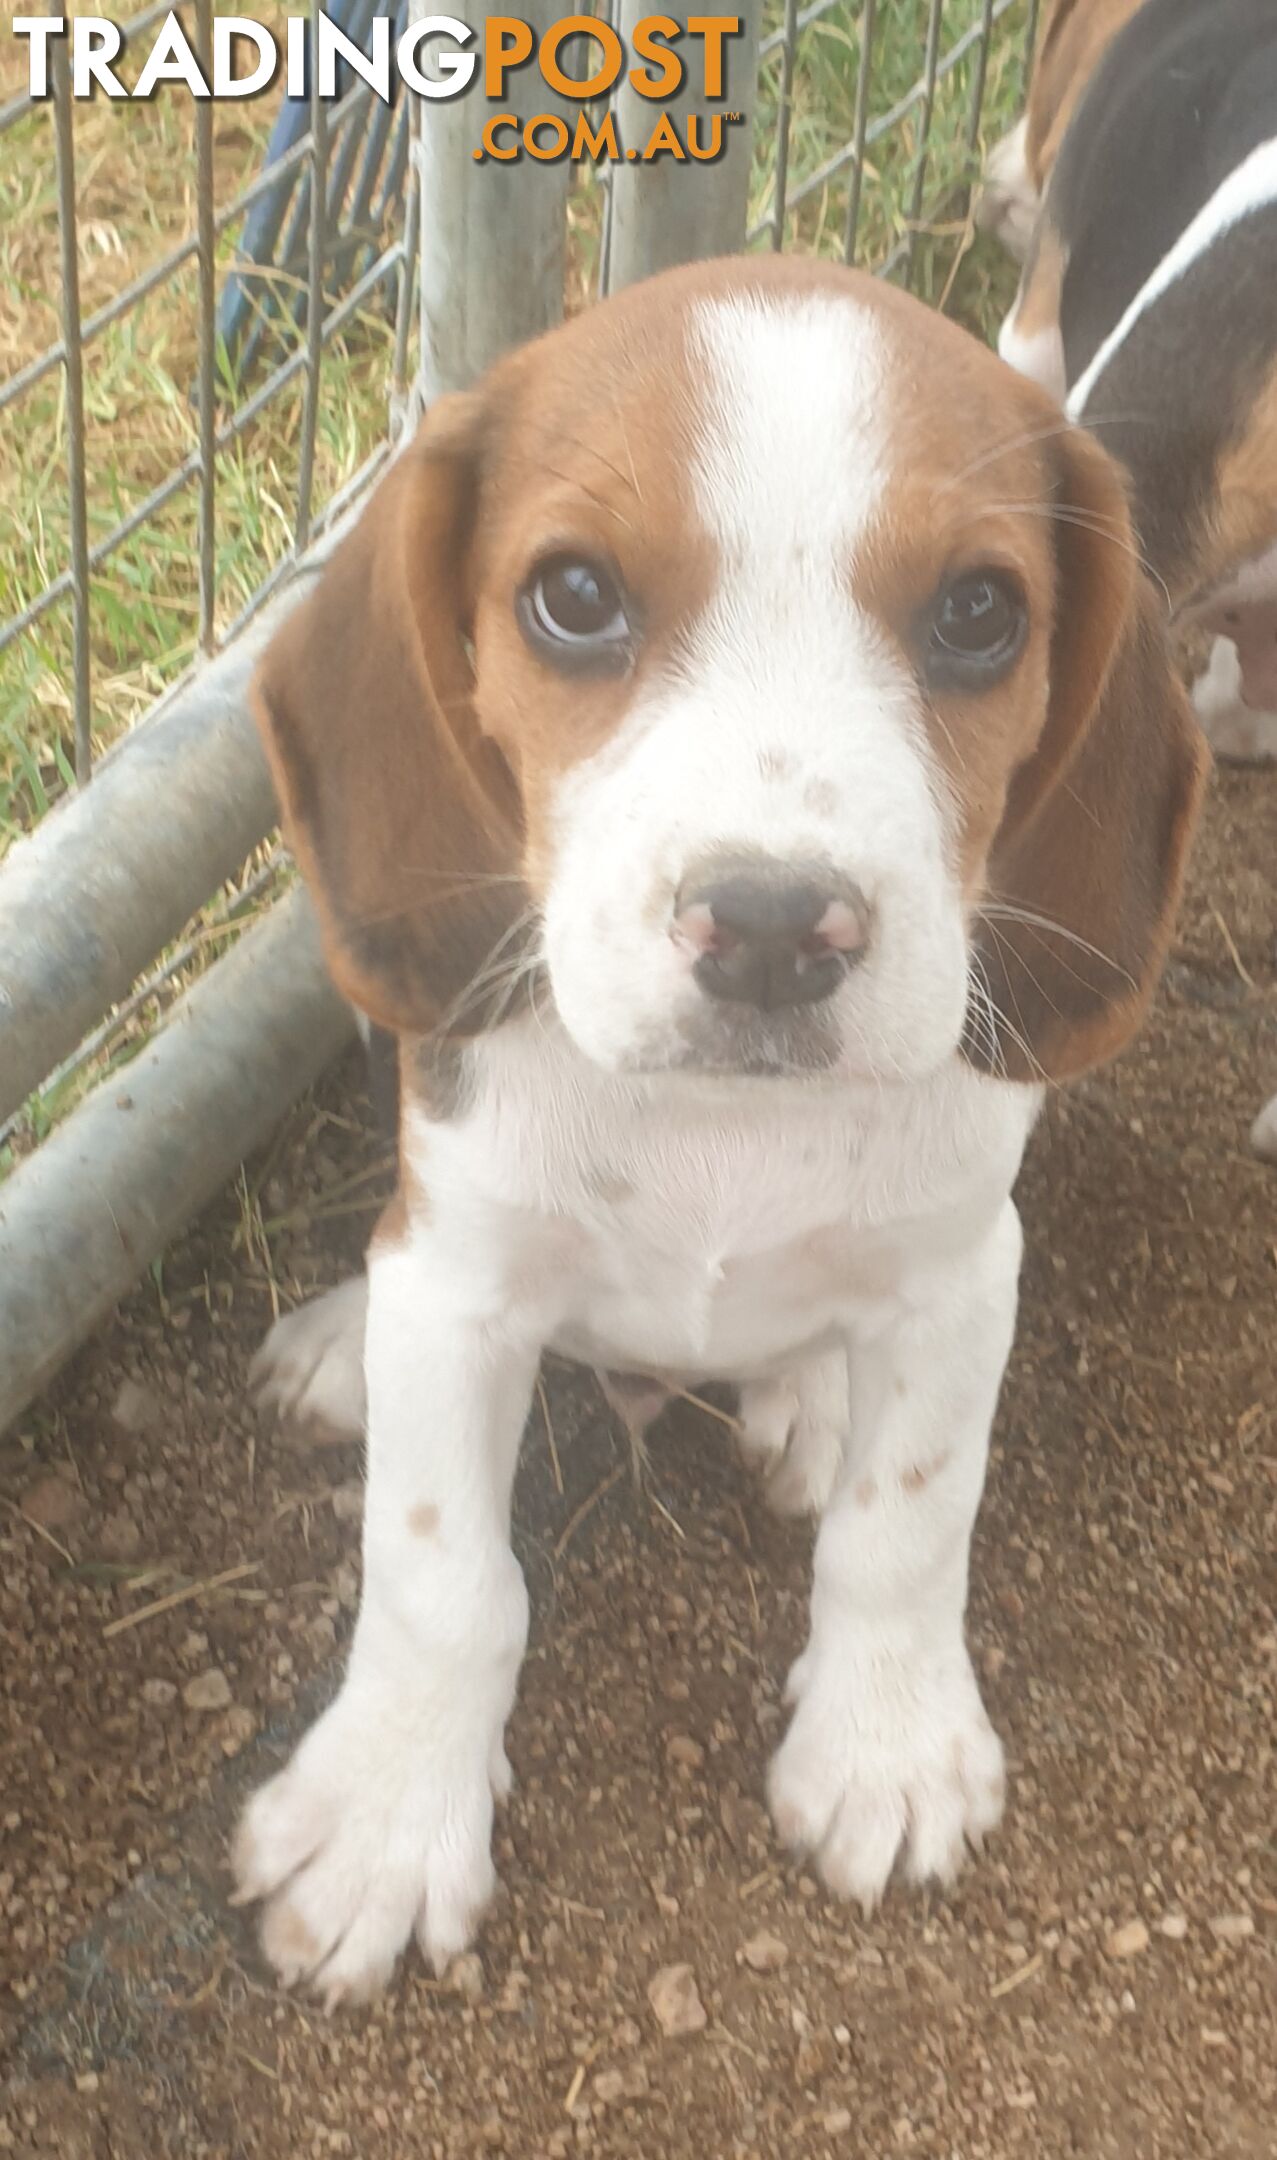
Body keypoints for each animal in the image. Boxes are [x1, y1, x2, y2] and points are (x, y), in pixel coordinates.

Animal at [232, 257, 1210, 2004]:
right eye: (572, 595)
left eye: (979, 614)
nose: (769, 927)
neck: (720, 1130)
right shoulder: (465, 1285)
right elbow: (438, 1571)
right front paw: (387, 1817)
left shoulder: (963, 1278)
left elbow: (911, 1522)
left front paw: (887, 1747)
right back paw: (347, 1335)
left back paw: (809, 1397)